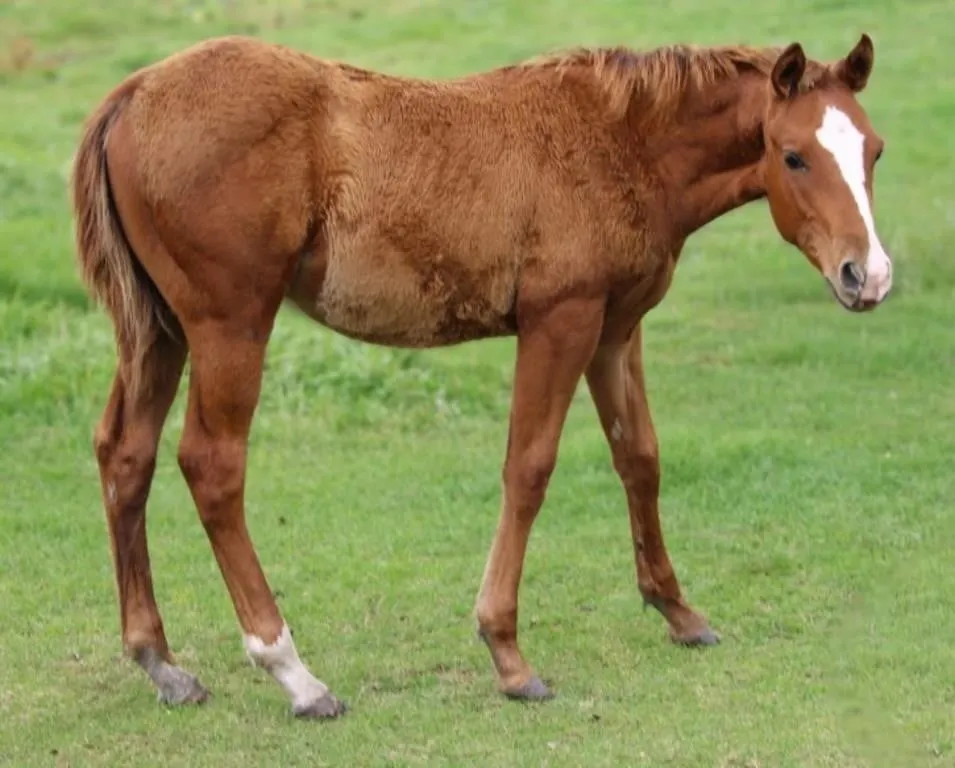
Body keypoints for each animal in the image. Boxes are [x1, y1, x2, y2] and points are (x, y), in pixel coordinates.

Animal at [70, 32, 892, 719]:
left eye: (874, 152)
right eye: (793, 154)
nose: (869, 276)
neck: (621, 142)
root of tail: (133, 93)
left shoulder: (615, 329)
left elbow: (640, 458)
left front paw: (678, 612)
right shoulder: (561, 322)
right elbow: (528, 469)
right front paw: (508, 655)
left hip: (159, 331)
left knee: (125, 454)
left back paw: (160, 662)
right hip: (229, 326)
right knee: (212, 466)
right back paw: (295, 675)